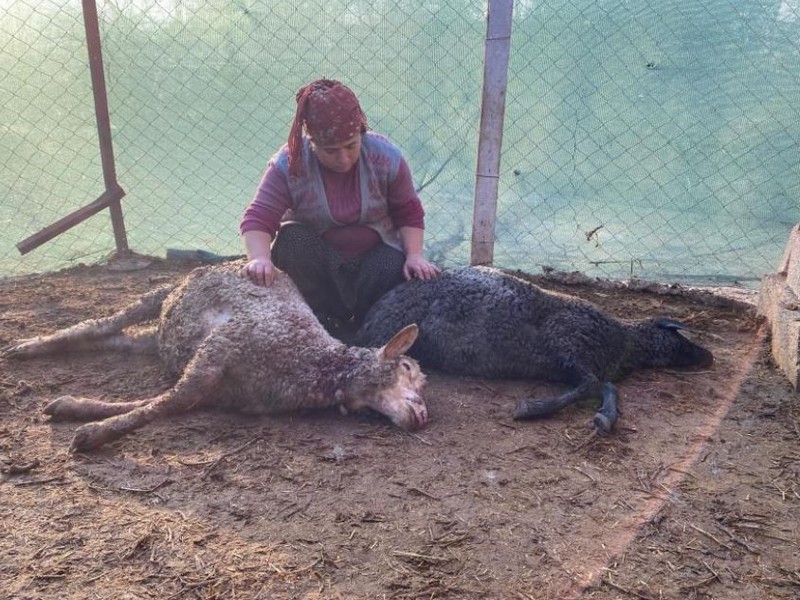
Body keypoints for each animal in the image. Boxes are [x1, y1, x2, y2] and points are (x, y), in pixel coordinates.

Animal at [3, 260, 428, 452]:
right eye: (408, 368)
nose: (423, 415)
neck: (316, 366)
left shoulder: (217, 386)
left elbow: (166, 402)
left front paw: (74, 409)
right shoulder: (219, 349)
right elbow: (164, 404)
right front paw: (92, 433)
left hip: (161, 336)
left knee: (112, 338)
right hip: (164, 294)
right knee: (106, 321)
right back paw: (25, 347)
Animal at [356, 268, 712, 432]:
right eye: (681, 338)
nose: (709, 357)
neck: (624, 341)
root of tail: (368, 318)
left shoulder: (570, 364)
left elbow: (602, 386)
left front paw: (603, 418)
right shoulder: (568, 350)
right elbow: (595, 385)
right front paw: (530, 408)